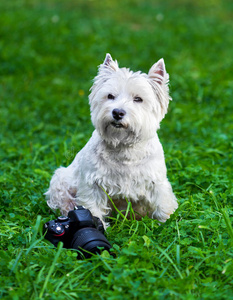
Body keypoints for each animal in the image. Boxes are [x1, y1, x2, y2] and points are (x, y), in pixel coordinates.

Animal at [45, 54, 177, 227]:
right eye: (110, 96)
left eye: (138, 99)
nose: (118, 112)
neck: (124, 147)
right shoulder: (92, 185)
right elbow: (92, 208)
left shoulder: (157, 182)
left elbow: (162, 204)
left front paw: (166, 222)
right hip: (60, 181)